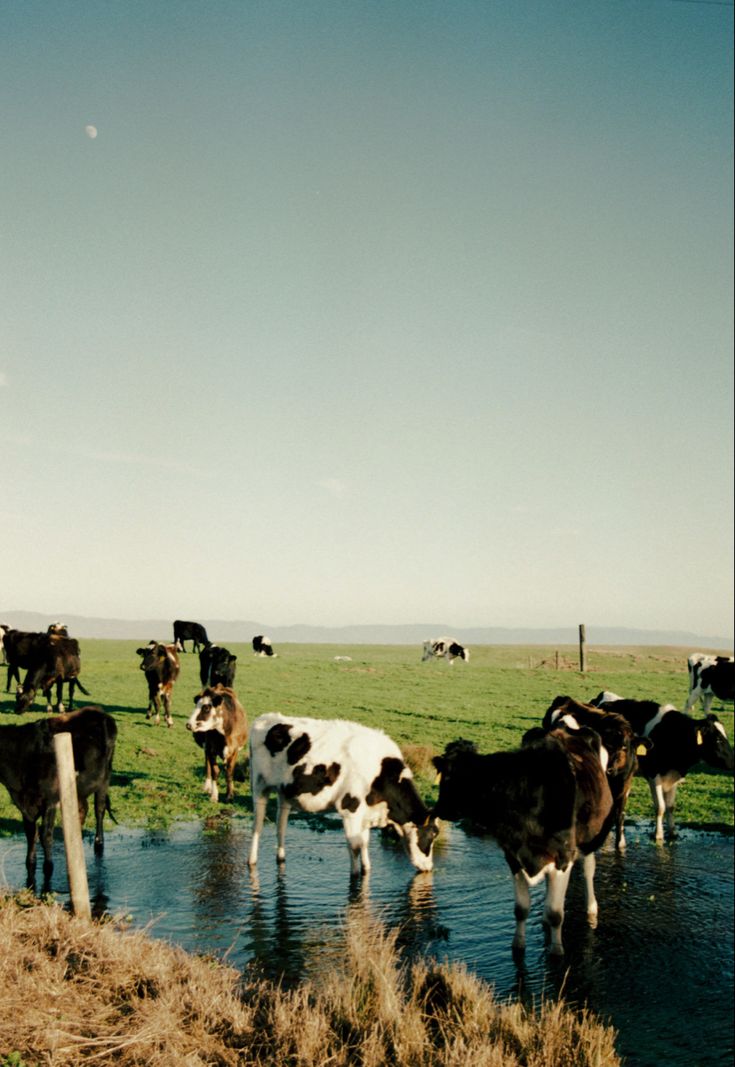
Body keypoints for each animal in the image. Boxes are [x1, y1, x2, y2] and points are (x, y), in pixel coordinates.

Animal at [0, 708, 116, 883]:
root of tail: (99, 711)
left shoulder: (50, 800)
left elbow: (45, 835)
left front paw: (48, 868)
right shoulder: (24, 804)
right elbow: (30, 834)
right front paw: (30, 866)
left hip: (104, 779)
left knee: (99, 810)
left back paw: (99, 844)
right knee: (82, 810)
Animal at [249, 717, 439, 874]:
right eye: (431, 835)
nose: (429, 867)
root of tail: (265, 718)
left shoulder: (365, 814)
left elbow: (364, 843)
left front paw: (366, 870)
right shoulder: (350, 809)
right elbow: (355, 846)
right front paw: (355, 878)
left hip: (284, 792)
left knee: (280, 825)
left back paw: (281, 858)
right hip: (259, 786)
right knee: (257, 825)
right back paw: (251, 861)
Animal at [430, 729, 614, 956]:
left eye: (451, 779)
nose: (438, 809)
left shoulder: (564, 856)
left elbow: (556, 914)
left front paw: (556, 951)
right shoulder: (513, 856)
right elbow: (521, 909)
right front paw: (517, 946)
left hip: (589, 839)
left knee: (589, 869)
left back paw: (591, 909)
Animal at [541, 695, 644, 853]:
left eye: (624, 747)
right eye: (608, 746)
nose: (610, 769)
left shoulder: (624, 787)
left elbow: (619, 815)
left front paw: (620, 845)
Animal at [588, 691, 733, 840]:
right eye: (717, 739)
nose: (733, 762)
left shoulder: (674, 776)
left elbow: (670, 806)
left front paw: (672, 832)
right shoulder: (653, 775)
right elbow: (660, 807)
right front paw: (658, 835)